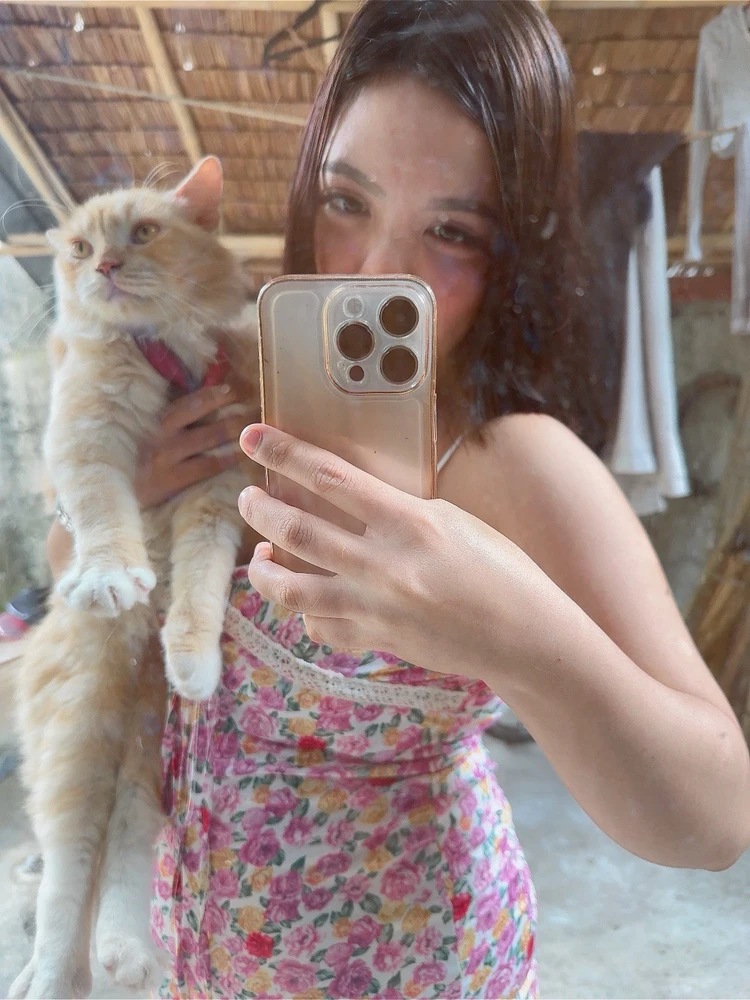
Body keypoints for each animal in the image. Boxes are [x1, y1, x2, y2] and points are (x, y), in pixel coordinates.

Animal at [10, 156, 261, 1000]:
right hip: (83, 728)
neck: (164, 350)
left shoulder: (217, 492)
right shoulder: (88, 439)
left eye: (145, 233)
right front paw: (113, 575)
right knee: (64, 878)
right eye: (81, 249)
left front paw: (198, 659)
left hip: (143, 750)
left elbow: (201, 585)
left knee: (119, 857)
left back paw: (127, 955)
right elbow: (102, 514)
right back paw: (52, 979)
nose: (108, 268)